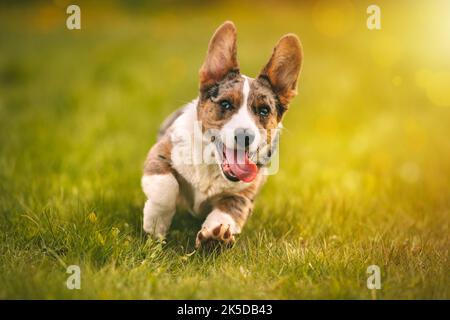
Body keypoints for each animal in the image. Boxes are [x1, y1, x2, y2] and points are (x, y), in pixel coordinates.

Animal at [141, 21, 302, 249]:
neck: (212, 164)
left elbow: (229, 211)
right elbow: (167, 187)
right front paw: (155, 226)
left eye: (264, 111)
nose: (245, 137)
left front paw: (214, 236)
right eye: (225, 104)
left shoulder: (244, 194)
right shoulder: (161, 153)